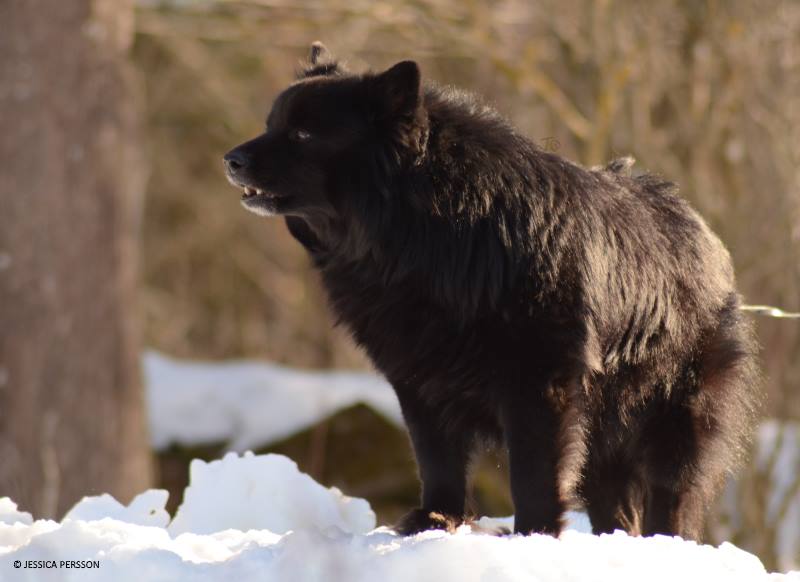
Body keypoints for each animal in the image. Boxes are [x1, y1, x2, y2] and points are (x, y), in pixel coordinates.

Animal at [223, 43, 756, 540]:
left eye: (303, 134)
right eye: (272, 124)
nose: (231, 159)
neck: (432, 231)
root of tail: (704, 235)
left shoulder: (539, 385)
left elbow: (534, 476)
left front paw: (533, 536)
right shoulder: (419, 380)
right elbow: (437, 461)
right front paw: (435, 521)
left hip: (675, 418)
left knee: (672, 498)